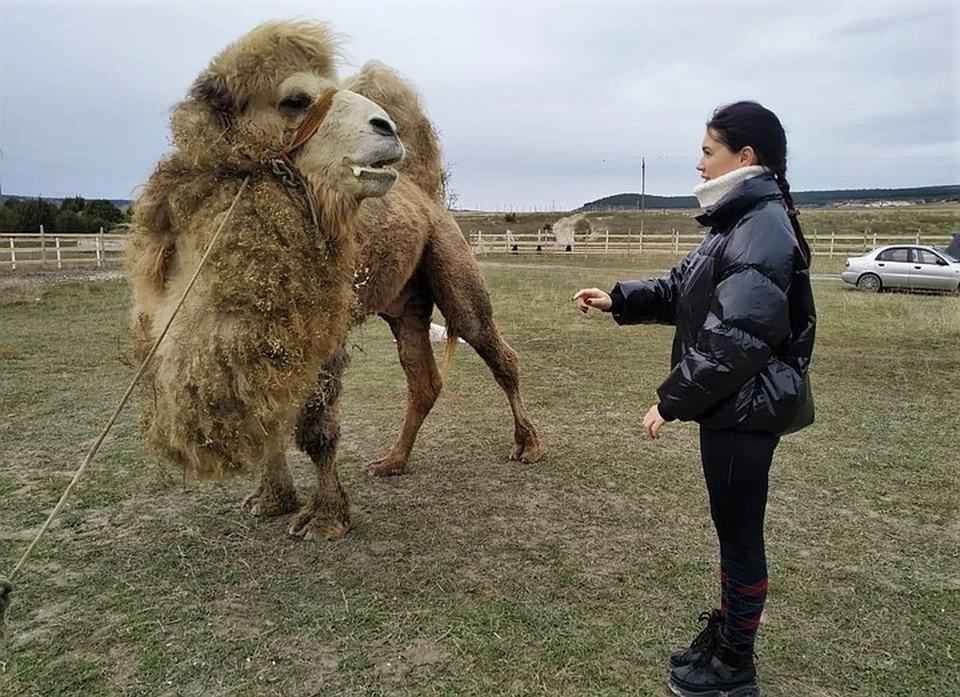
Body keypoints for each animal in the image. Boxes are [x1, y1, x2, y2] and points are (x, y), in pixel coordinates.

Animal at [126, 20, 542, 541]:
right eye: (294, 100)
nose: (386, 129)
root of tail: (425, 194)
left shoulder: (321, 333)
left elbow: (317, 426)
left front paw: (324, 519)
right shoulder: (271, 341)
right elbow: (269, 411)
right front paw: (270, 500)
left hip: (452, 264)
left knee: (494, 349)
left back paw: (527, 446)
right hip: (404, 305)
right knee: (422, 379)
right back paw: (392, 461)